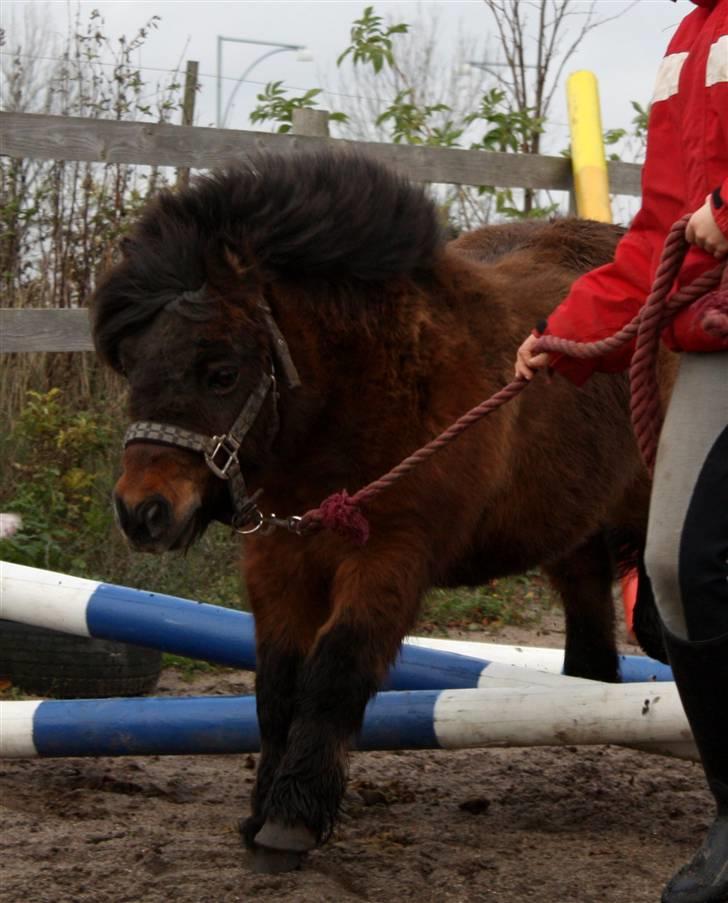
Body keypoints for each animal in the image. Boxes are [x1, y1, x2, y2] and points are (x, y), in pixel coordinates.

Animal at [91, 152, 656, 872]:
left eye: (221, 372)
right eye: (132, 362)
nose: (143, 511)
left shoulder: (390, 555)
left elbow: (335, 670)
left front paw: (292, 818)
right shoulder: (277, 558)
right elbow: (278, 683)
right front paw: (262, 810)